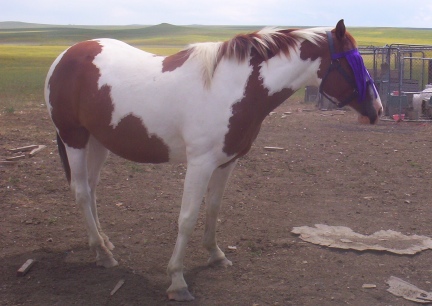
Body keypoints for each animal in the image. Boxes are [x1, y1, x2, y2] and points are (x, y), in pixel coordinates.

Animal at [44, 19, 382, 302]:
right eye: (354, 59)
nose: (377, 109)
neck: (231, 88)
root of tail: (65, 56)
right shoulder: (200, 164)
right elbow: (187, 217)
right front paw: (177, 280)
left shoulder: (226, 162)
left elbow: (214, 208)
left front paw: (216, 255)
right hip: (74, 138)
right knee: (81, 192)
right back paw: (102, 253)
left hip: (97, 142)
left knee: (91, 189)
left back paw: (103, 242)